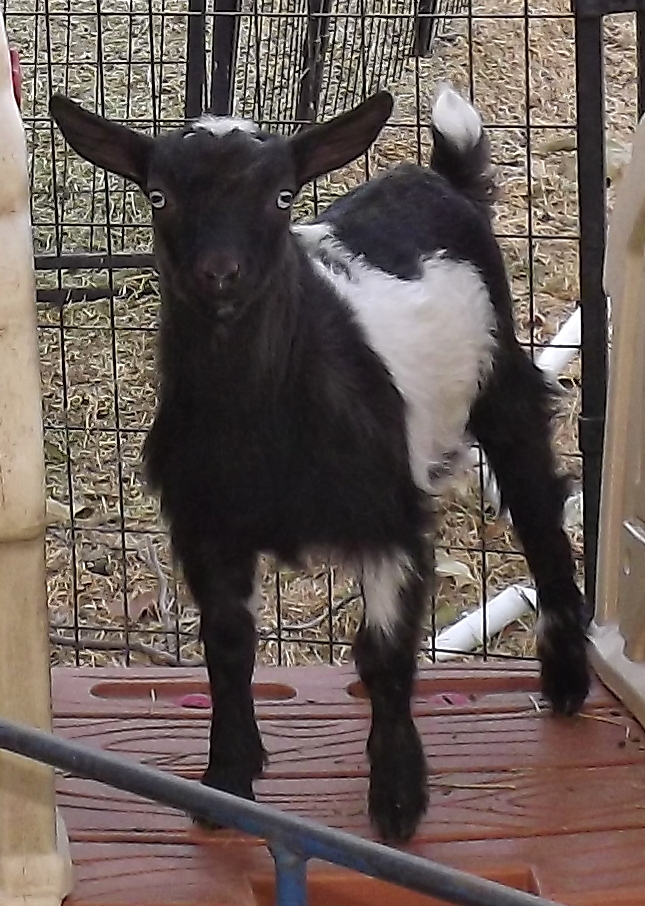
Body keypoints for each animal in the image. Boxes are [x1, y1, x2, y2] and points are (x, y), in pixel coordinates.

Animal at [49, 84, 591, 845]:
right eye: (158, 195)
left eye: (281, 196)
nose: (220, 275)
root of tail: (438, 179)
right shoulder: (208, 528)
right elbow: (228, 647)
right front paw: (227, 782)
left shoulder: (392, 520)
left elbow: (383, 654)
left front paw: (397, 800)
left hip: (502, 386)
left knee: (540, 513)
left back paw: (567, 682)